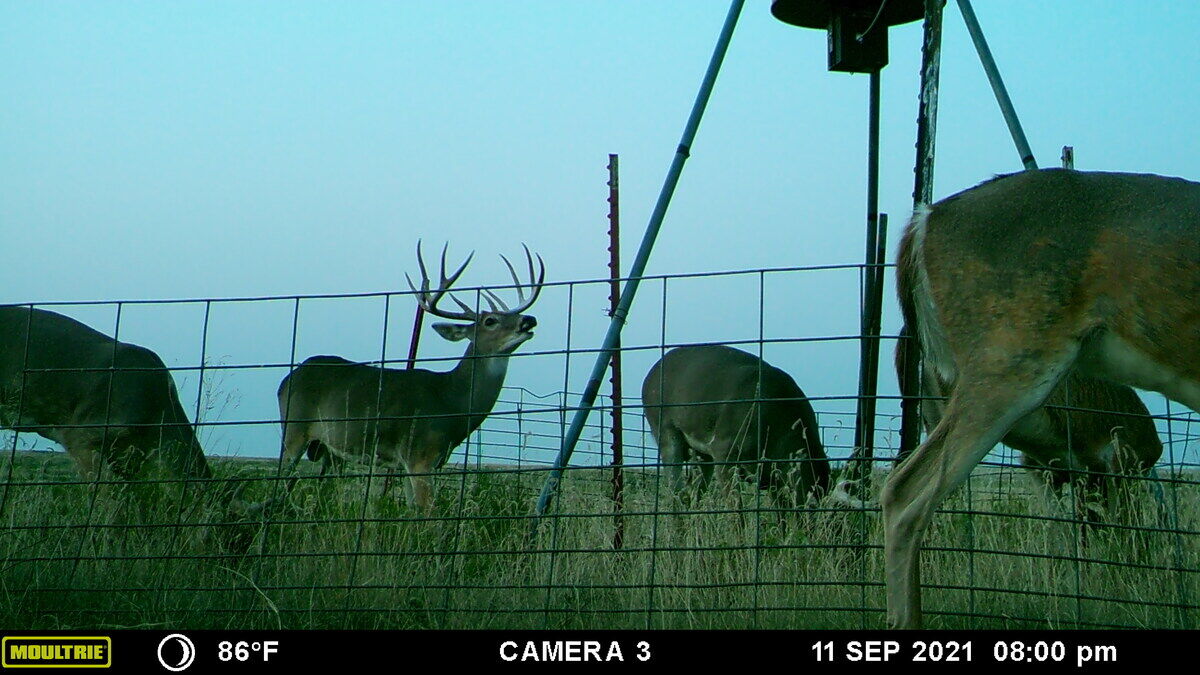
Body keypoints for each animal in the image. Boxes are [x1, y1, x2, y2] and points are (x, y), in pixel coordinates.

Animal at [276, 242, 544, 511]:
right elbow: (428, 514)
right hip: (294, 428)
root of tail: (288, 378)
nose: (528, 320)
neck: (452, 402)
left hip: (328, 449)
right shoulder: (420, 454)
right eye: (490, 320)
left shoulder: (416, 463)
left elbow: (412, 510)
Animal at [641, 344, 830, 508]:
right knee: (676, 489)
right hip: (664, 428)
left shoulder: (773, 477)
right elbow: (736, 508)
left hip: (702, 453)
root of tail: (649, 376)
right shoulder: (724, 450)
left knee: (693, 491)